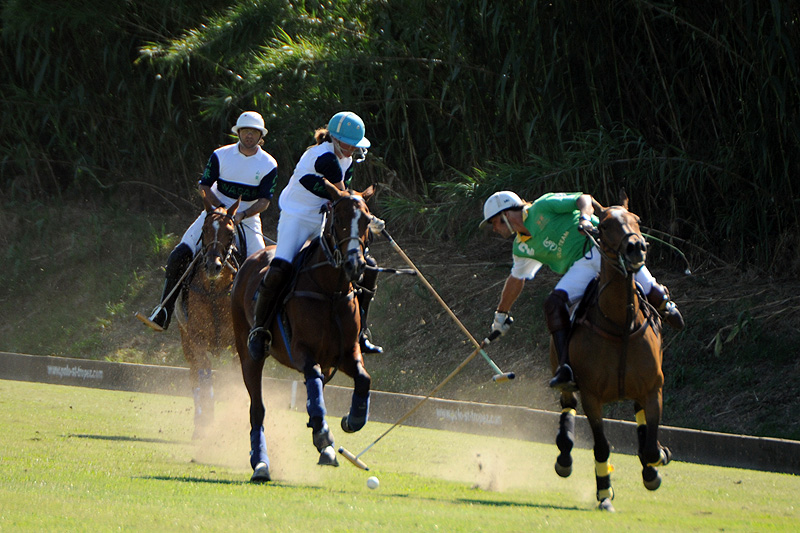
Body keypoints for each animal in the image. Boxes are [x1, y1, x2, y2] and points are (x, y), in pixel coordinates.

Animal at [173, 193, 241, 438]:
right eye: (204, 229)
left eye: (230, 233)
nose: (213, 266)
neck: (213, 290)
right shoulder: (197, 339)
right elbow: (204, 375)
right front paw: (206, 423)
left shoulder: (237, 345)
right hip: (185, 340)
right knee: (196, 375)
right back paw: (200, 420)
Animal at [231, 180, 376, 482]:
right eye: (339, 219)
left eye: (367, 220)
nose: (355, 265)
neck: (331, 290)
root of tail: (252, 258)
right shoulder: (301, 351)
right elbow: (313, 383)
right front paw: (324, 437)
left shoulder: (347, 352)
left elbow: (363, 379)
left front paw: (352, 419)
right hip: (248, 354)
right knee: (258, 409)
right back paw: (261, 464)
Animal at [552, 191, 668, 512]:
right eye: (603, 225)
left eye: (637, 219)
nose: (636, 247)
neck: (620, 324)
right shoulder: (592, 395)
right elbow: (602, 446)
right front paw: (604, 494)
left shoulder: (653, 389)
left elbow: (650, 446)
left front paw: (656, 461)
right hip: (563, 373)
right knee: (567, 405)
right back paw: (564, 457)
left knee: (641, 421)